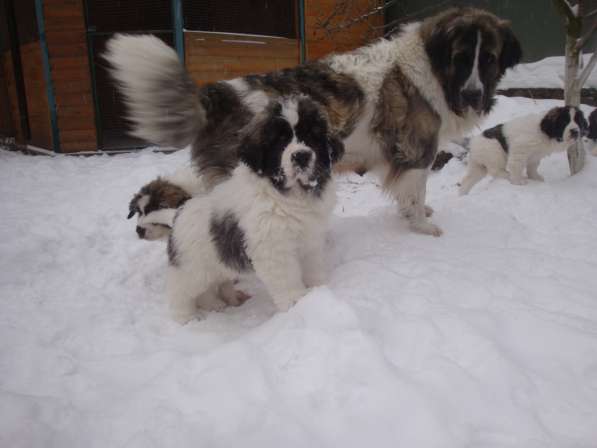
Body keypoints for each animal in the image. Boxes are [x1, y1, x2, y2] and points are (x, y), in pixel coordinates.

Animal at [105, 7, 520, 238]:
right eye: (461, 58)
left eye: (488, 59)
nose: (473, 94)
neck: (432, 70)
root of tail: (218, 93)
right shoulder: (415, 154)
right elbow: (414, 194)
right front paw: (421, 226)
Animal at [166, 98, 344, 322]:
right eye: (280, 140)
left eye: (312, 135)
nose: (301, 156)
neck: (288, 196)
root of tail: (181, 209)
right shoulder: (274, 249)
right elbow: (287, 280)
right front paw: (296, 303)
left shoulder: (310, 240)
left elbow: (313, 268)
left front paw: (319, 290)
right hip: (192, 269)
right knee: (179, 292)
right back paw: (186, 318)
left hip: (216, 266)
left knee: (209, 288)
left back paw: (218, 304)